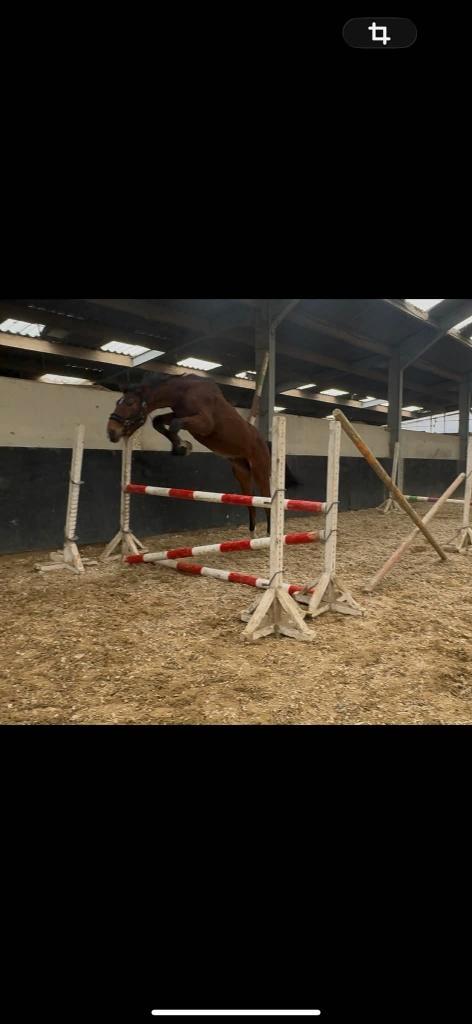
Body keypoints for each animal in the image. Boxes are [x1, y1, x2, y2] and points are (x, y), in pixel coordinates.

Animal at [106, 374, 296, 534]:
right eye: (117, 402)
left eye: (130, 403)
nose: (111, 432)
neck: (183, 392)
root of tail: (264, 441)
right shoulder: (178, 413)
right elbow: (159, 422)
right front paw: (181, 447)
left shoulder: (205, 423)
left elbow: (175, 425)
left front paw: (183, 447)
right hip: (241, 472)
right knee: (250, 501)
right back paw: (252, 535)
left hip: (259, 470)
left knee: (265, 498)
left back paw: (270, 534)